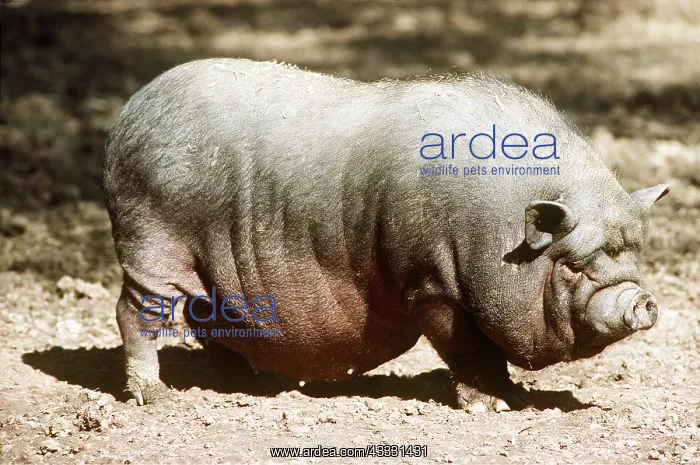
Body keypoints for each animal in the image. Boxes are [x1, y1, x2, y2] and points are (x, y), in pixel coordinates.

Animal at [103, 58, 668, 410]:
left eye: (634, 255)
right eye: (574, 264)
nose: (641, 301)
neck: (497, 232)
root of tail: (128, 114)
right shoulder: (432, 283)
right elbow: (468, 347)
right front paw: (494, 405)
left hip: (210, 270)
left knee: (207, 318)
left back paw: (248, 385)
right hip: (150, 240)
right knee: (136, 311)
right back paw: (156, 398)